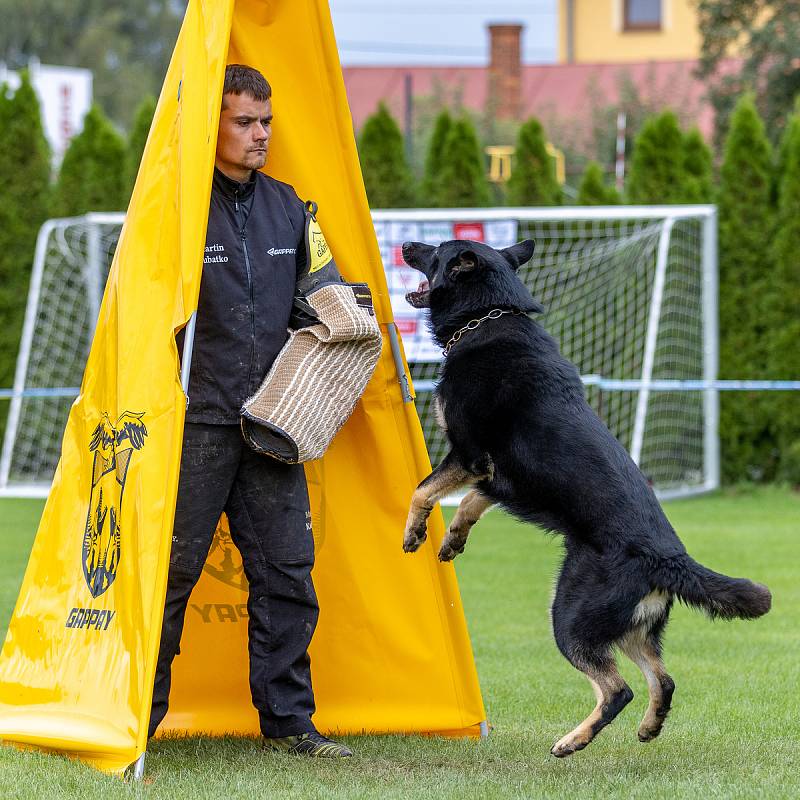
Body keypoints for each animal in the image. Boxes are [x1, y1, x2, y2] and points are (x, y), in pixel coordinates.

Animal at [404, 238, 772, 756]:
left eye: (435, 252)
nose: (405, 244)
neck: (491, 315)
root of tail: (670, 558)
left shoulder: (470, 457)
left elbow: (422, 489)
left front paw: (414, 532)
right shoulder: (498, 477)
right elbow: (473, 503)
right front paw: (453, 538)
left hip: (570, 615)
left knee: (619, 689)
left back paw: (572, 740)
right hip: (628, 627)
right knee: (663, 680)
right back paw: (648, 727)